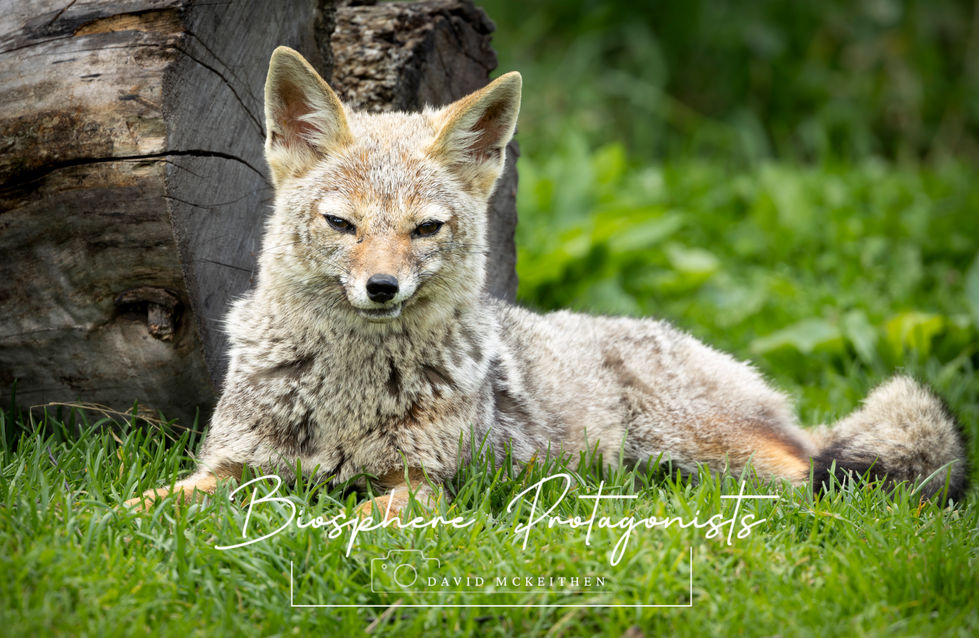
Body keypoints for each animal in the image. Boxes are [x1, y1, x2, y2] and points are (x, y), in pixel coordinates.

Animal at [127, 46, 968, 515]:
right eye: (342, 225)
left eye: (424, 230)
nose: (382, 289)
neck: (349, 392)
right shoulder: (232, 466)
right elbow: (154, 505)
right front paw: (117, 523)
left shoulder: (425, 483)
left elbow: (356, 518)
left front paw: (316, 527)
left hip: (704, 445)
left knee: (820, 477)